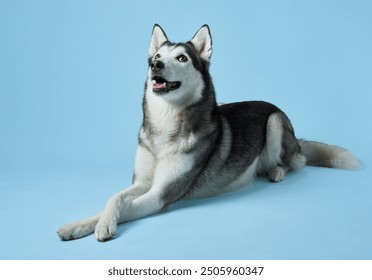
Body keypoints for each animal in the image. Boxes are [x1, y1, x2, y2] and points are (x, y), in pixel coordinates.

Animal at [57, 25, 358, 242]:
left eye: (181, 58)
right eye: (157, 57)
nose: (156, 65)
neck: (164, 127)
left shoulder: (162, 195)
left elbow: (128, 207)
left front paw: (104, 227)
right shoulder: (142, 182)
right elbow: (113, 199)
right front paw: (80, 224)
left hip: (274, 122)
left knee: (293, 162)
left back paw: (276, 171)